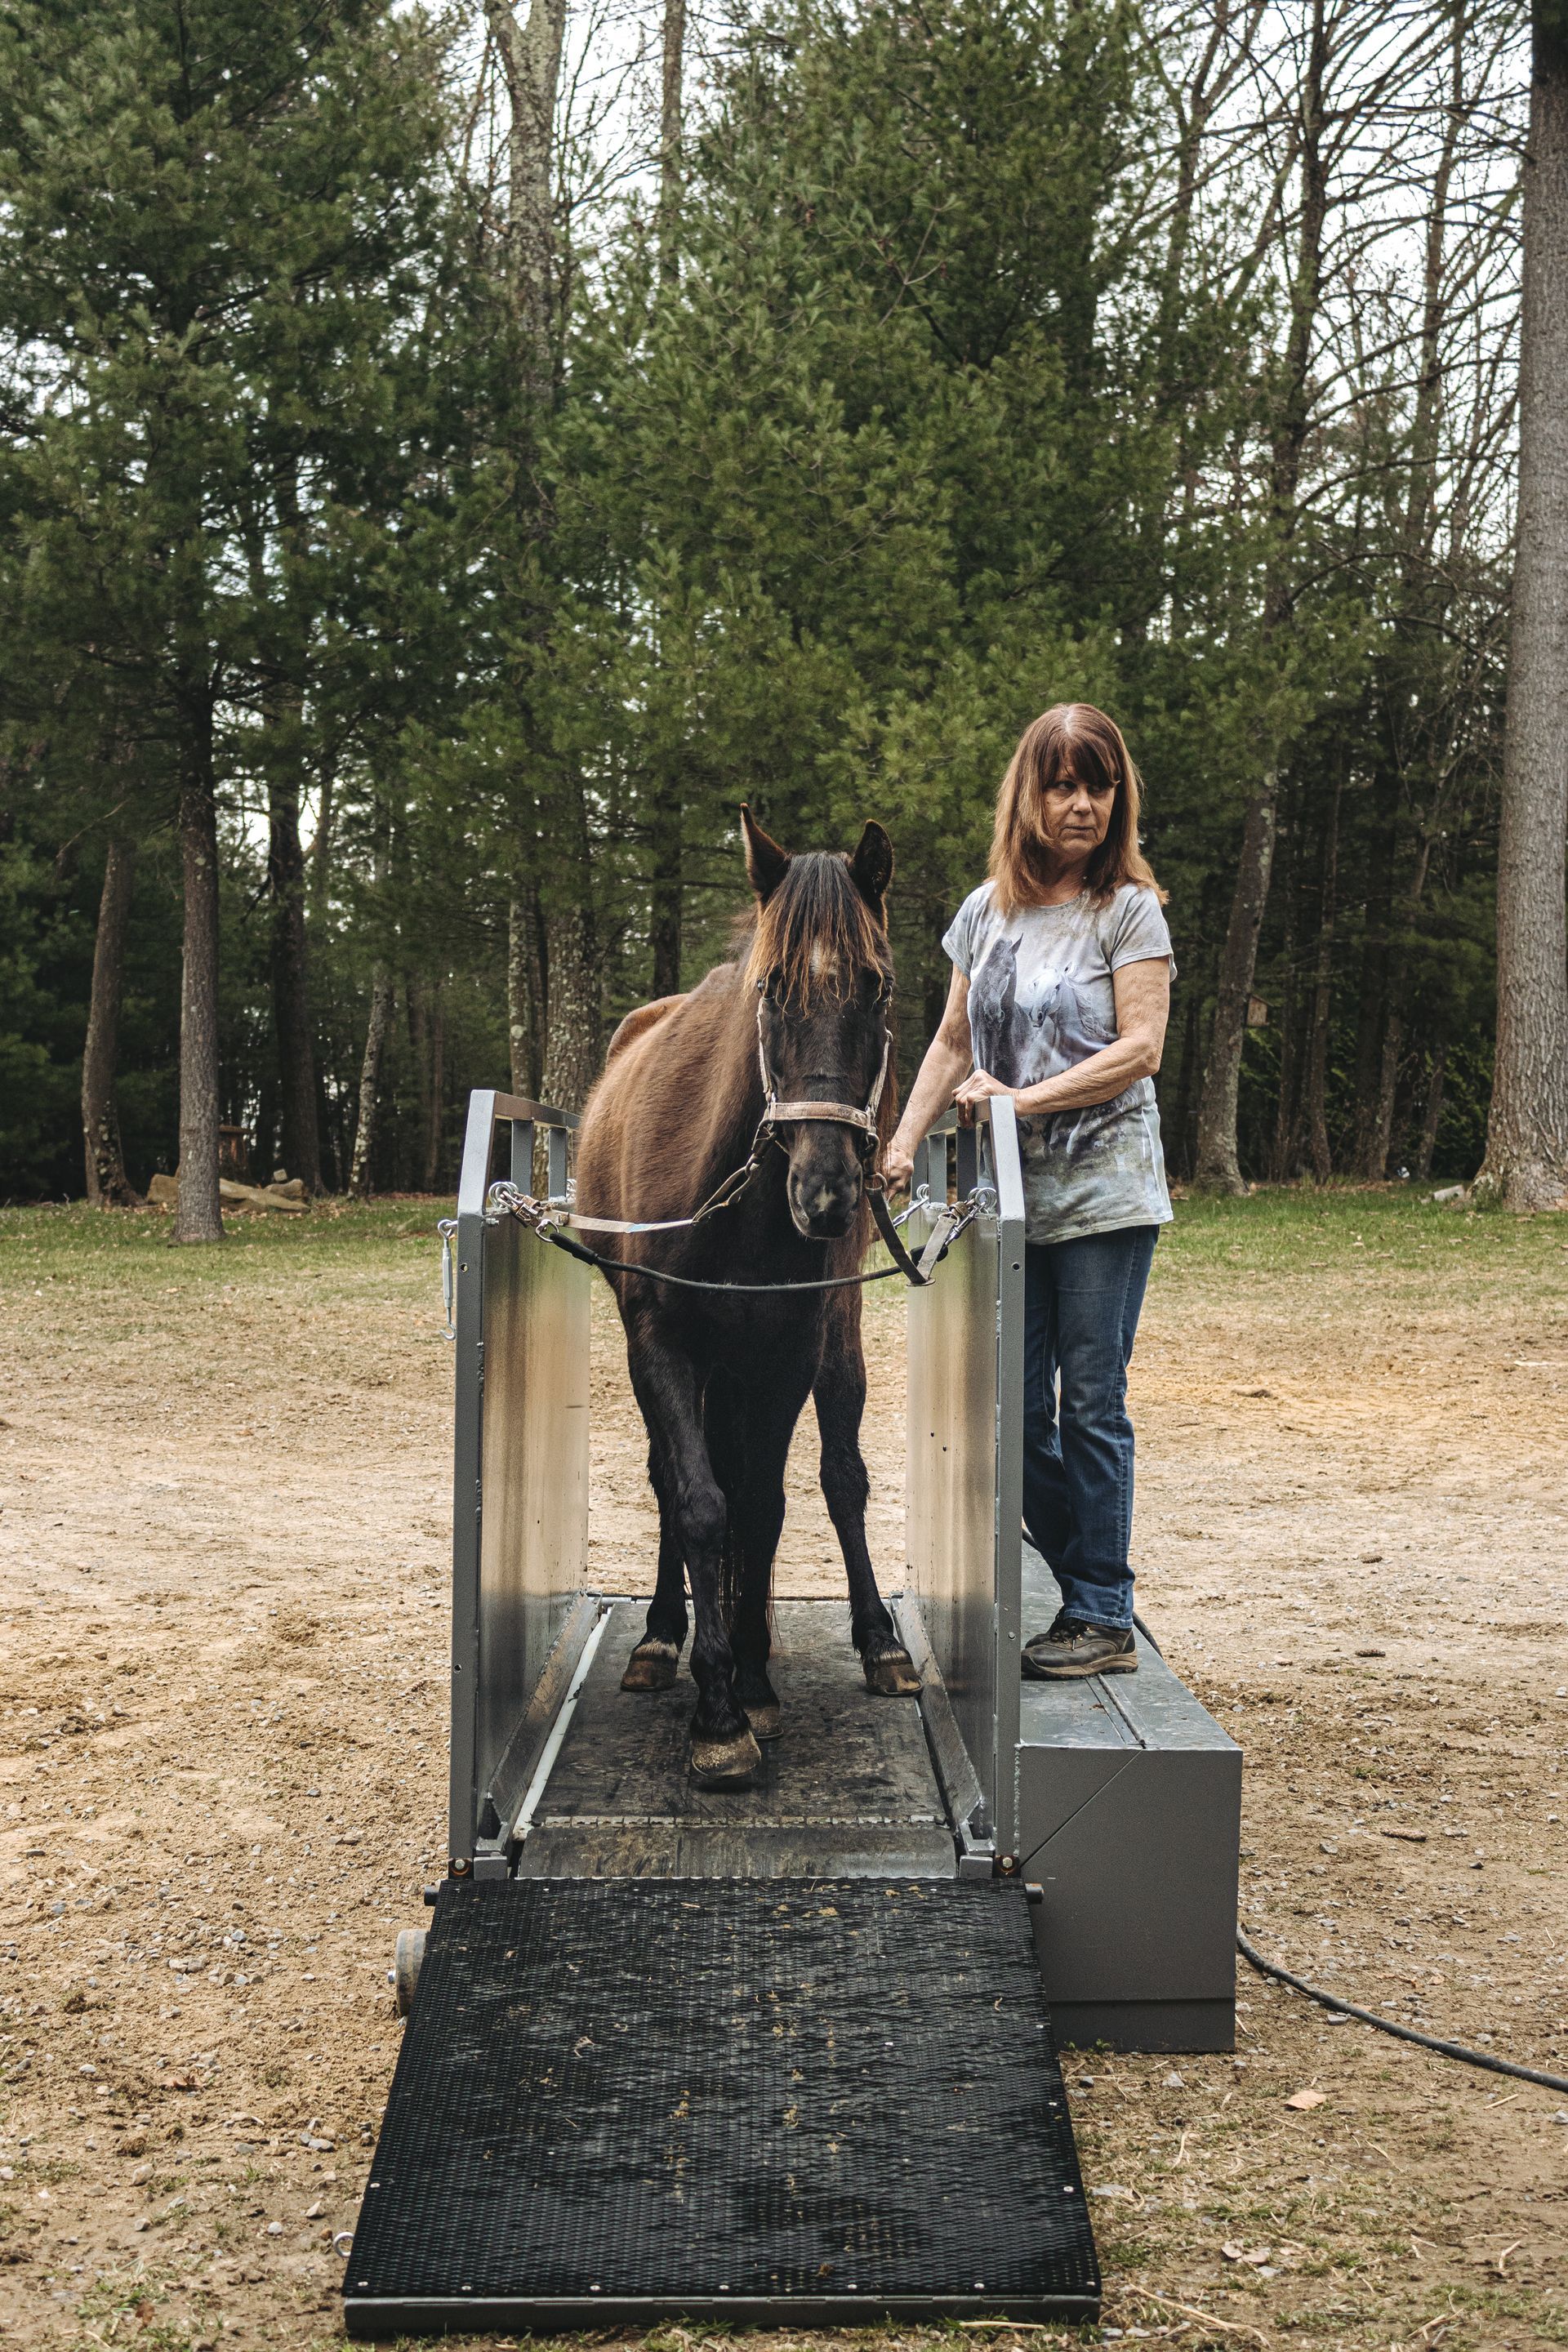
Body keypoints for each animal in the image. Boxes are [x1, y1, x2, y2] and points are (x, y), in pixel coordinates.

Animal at [573, 808, 921, 1788]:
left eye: (879, 988)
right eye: (770, 989)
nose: (827, 1194)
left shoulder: (783, 1356)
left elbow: (764, 1502)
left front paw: (752, 1678)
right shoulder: (661, 1344)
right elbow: (696, 1499)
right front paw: (717, 1706)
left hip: (831, 1342)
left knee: (839, 1476)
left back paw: (873, 1640)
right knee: (675, 1481)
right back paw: (663, 1638)